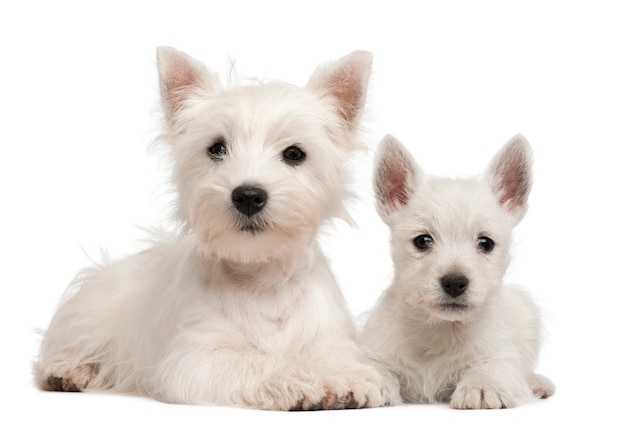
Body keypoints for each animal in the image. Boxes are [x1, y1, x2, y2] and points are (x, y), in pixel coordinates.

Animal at [34, 47, 394, 410]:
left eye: (294, 153)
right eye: (217, 148)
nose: (248, 196)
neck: (263, 281)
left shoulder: (330, 339)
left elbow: (335, 358)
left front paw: (347, 377)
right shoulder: (197, 358)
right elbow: (259, 362)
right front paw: (309, 381)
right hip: (93, 312)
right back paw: (66, 370)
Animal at [364, 135, 552, 410]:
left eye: (485, 243)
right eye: (422, 241)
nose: (454, 282)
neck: (442, 329)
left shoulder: (500, 354)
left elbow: (493, 367)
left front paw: (483, 387)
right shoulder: (376, 349)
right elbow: (377, 368)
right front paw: (373, 383)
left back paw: (538, 382)